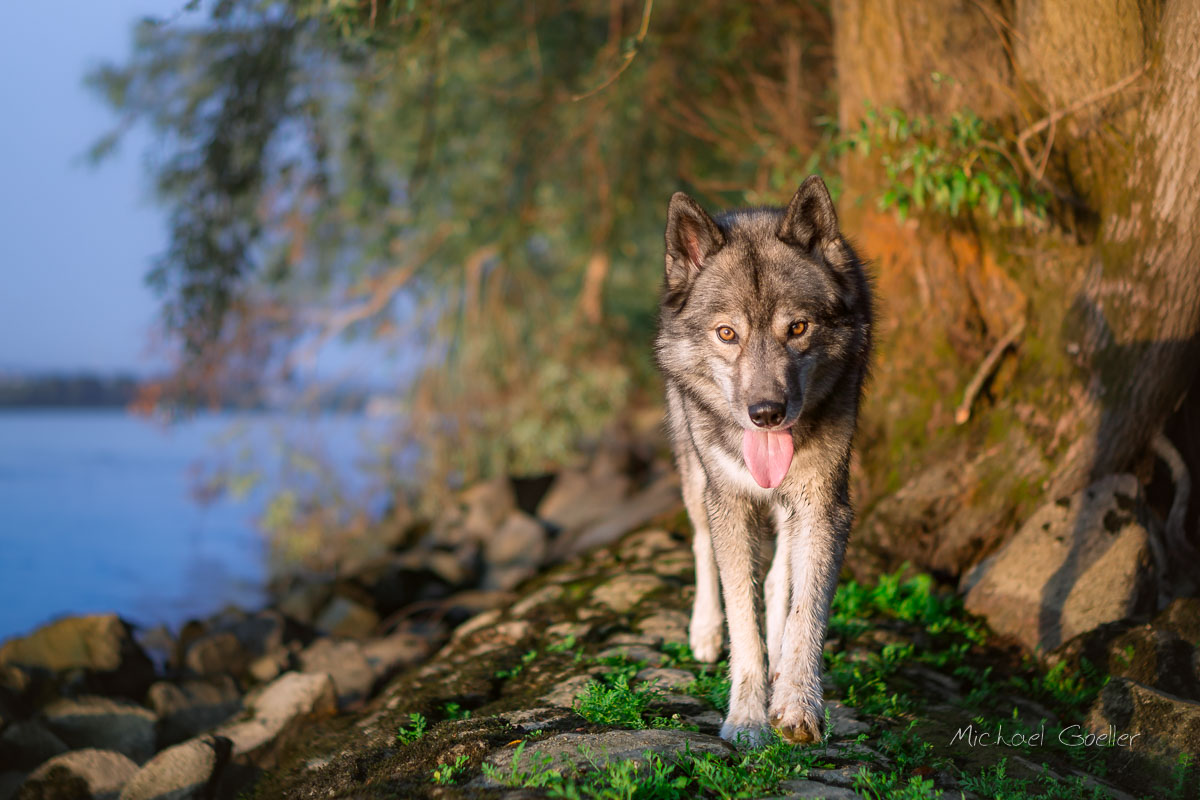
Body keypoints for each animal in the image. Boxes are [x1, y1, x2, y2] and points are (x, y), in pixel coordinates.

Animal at [657, 178, 873, 748]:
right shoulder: (729, 502)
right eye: (726, 333)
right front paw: (748, 720)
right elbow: (743, 620)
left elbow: (806, 609)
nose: (767, 413)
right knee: (700, 543)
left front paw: (796, 704)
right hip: (696, 478)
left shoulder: (825, 504)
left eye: (797, 327)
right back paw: (704, 631)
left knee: (780, 581)